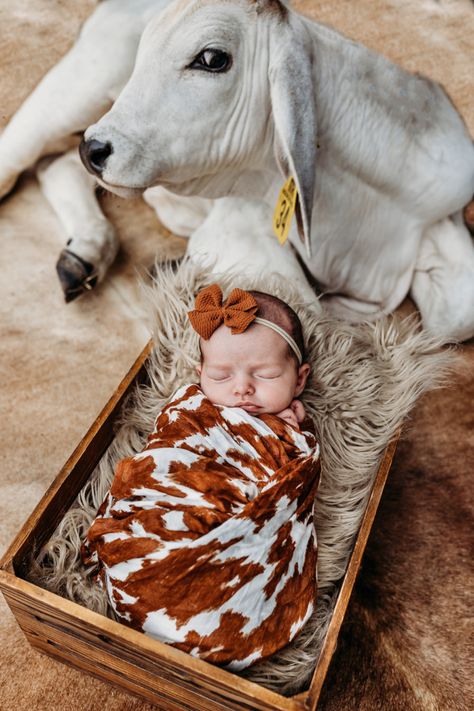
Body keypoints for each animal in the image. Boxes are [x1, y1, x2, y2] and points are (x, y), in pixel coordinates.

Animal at [0, 0, 474, 342]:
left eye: (212, 58)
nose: (95, 149)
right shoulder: (239, 227)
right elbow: (303, 306)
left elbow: (457, 316)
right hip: (79, 89)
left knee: (59, 166)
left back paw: (85, 251)